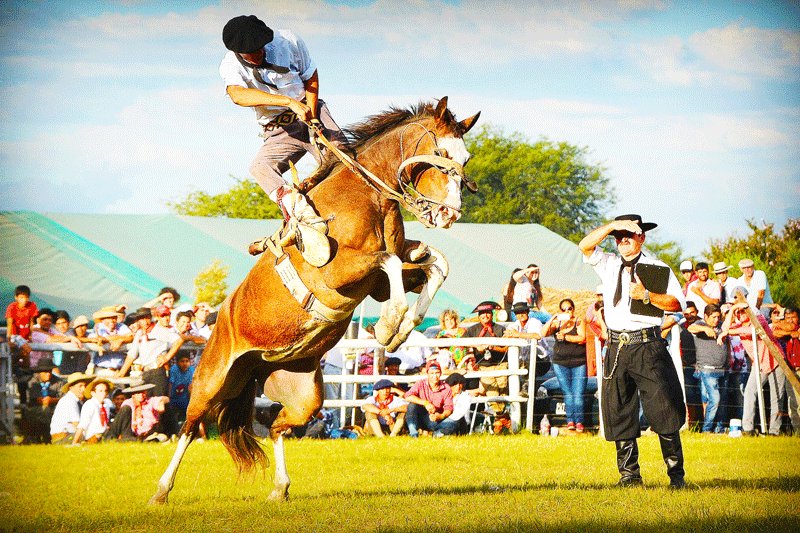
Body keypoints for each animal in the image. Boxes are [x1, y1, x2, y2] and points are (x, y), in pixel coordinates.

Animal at [148, 96, 482, 502]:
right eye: (440, 153)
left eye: (465, 158)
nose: (450, 213)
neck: (368, 196)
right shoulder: (337, 273)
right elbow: (387, 260)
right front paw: (388, 326)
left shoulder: (383, 278)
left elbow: (437, 263)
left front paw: (401, 330)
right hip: (211, 381)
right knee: (189, 428)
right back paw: (161, 490)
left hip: (304, 395)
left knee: (277, 427)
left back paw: (280, 488)